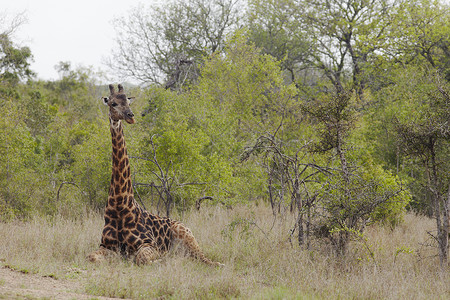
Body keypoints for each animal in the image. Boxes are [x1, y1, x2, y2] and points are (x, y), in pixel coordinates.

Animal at [87, 84, 222, 268]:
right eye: (113, 103)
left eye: (128, 101)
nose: (130, 116)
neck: (120, 205)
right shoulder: (106, 245)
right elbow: (91, 257)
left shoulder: (149, 244)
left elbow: (141, 258)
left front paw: (159, 260)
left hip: (187, 234)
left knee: (204, 258)